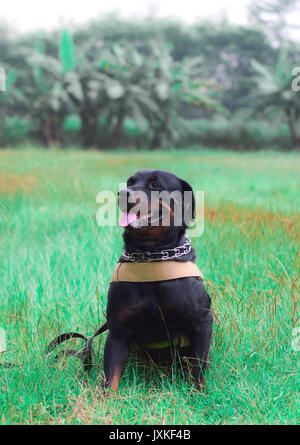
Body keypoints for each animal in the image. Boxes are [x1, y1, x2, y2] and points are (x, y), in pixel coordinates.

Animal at [103, 168, 213, 390]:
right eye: (130, 182)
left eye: (156, 185)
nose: (123, 193)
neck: (152, 256)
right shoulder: (117, 330)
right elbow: (110, 378)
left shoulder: (203, 322)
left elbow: (198, 369)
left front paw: (198, 394)